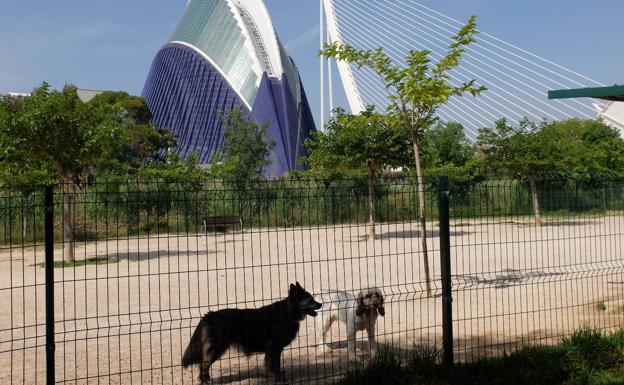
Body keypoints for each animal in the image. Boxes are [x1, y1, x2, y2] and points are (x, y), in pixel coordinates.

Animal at [182, 280, 322, 382]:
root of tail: (209, 315)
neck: (287, 312)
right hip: (217, 348)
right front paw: (279, 378)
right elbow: (275, 365)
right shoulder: (275, 347)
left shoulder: (273, 349)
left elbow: (272, 365)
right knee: (203, 365)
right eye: (309, 300)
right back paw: (206, 380)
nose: (321, 304)